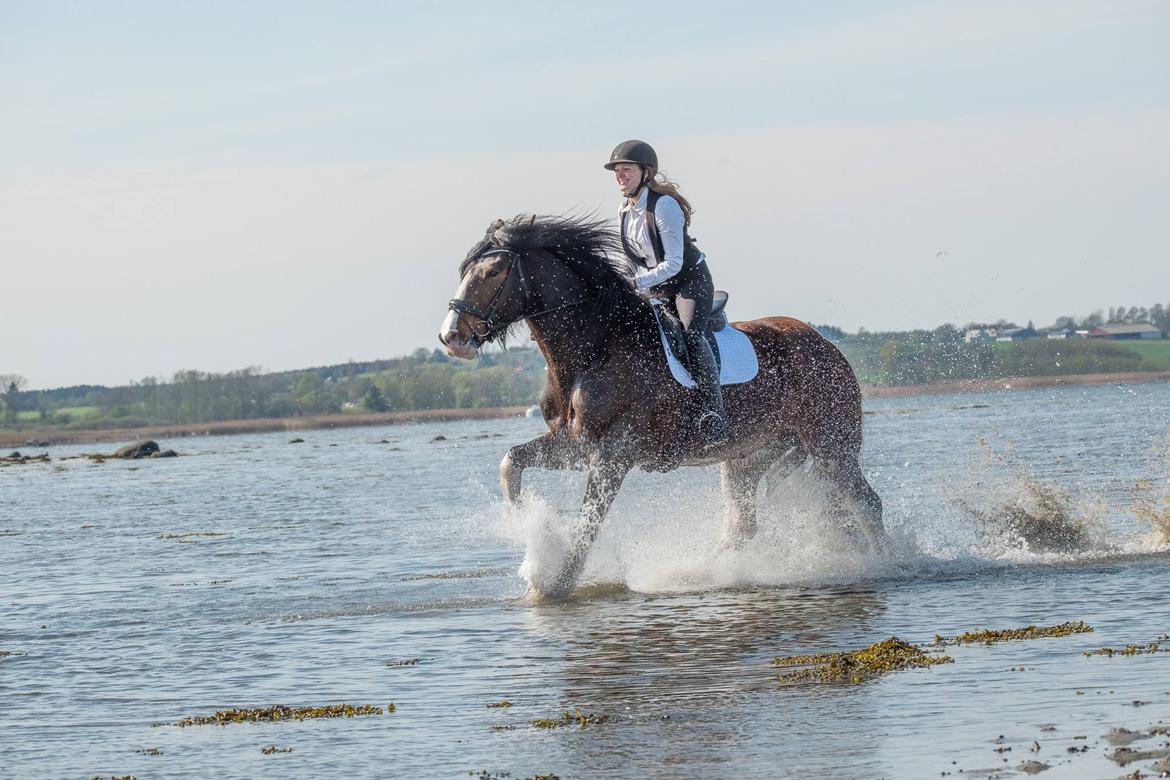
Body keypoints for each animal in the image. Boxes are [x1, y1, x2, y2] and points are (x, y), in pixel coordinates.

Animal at [439, 214, 884, 598]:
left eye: (492, 273)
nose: (451, 337)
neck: (596, 348)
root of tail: (826, 345)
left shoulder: (614, 453)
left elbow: (587, 525)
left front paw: (555, 583)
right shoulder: (574, 445)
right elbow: (511, 461)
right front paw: (526, 519)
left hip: (831, 445)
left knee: (866, 503)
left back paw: (887, 562)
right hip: (747, 457)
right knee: (742, 525)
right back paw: (706, 571)